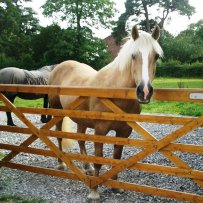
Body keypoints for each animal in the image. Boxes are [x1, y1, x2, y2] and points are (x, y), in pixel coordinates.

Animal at [48, 25, 163, 201]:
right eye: (133, 55)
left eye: (156, 56)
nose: (144, 92)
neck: (114, 92)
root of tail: (59, 66)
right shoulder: (100, 130)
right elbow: (99, 159)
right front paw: (94, 192)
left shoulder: (124, 131)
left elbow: (116, 158)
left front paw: (116, 187)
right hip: (57, 112)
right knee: (59, 135)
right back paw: (61, 164)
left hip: (81, 119)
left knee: (81, 140)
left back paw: (86, 167)